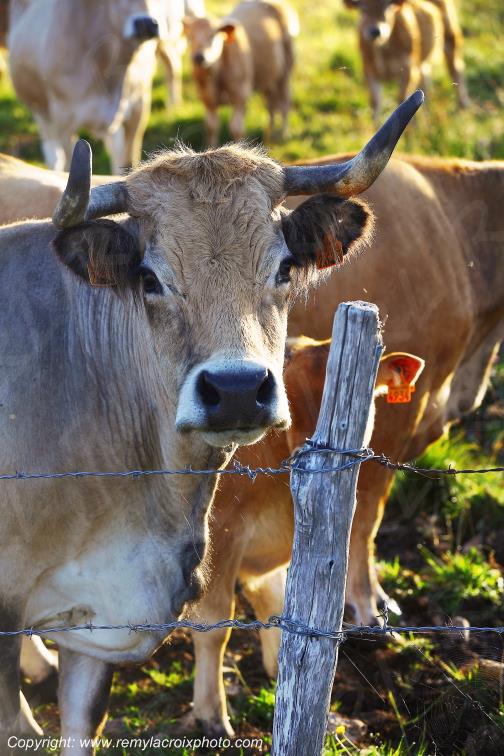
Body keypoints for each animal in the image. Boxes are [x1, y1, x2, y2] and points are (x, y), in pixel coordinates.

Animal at [8, 0, 167, 173]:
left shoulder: (138, 107)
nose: (145, 24)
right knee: (52, 152)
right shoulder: (63, 117)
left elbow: (128, 163)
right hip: (39, 109)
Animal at [183, 0, 298, 146]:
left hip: (286, 71)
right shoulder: (208, 100)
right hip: (268, 76)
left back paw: (284, 134)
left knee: (285, 103)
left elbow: (236, 128)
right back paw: (269, 134)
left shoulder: (240, 96)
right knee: (271, 105)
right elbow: (211, 127)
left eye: (213, 36)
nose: (199, 57)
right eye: (190, 37)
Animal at [190, 339, 425, 736]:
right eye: (291, 398)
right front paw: (212, 716)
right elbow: (214, 627)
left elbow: (277, 604)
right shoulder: (219, 537)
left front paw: (280, 679)